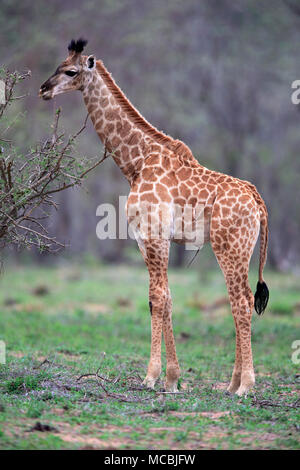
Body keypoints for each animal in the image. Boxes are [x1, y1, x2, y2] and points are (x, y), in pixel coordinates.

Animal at [39, 38, 270, 396]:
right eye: (59, 66)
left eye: (71, 71)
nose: (44, 90)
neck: (136, 162)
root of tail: (258, 203)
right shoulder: (149, 238)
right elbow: (167, 298)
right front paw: (173, 379)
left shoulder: (152, 234)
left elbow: (156, 298)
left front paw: (151, 377)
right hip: (240, 248)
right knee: (240, 299)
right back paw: (231, 385)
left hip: (230, 246)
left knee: (242, 301)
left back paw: (246, 385)